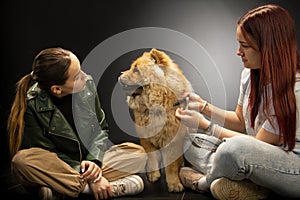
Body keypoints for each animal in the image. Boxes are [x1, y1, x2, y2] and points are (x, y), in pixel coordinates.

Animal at [118, 48, 193, 192]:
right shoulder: (146, 138)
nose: (119, 76)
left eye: (136, 70)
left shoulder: (172, 141)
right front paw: (153, 176)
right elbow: (152, 158)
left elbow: (171, 166)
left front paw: (174, 184)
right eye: (131, 67)